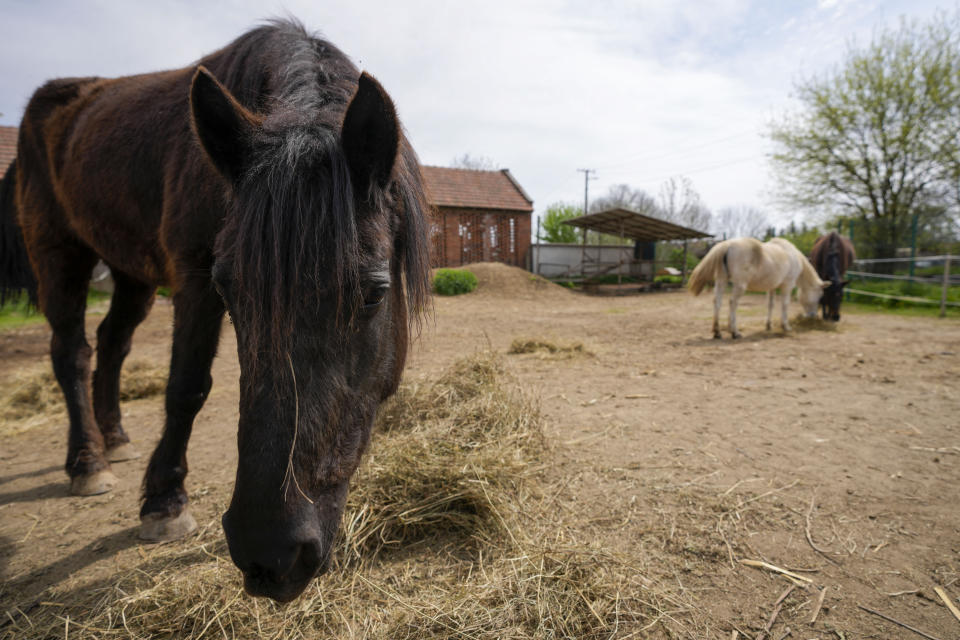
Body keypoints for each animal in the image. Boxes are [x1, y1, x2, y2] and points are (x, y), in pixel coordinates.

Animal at [0, 18, 430, 600]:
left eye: (374, 293)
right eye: (228, 290)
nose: (269, 553)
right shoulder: (194, 278)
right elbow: (186, 388)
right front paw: (163, 502)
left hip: (131, 272)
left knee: (112, 344)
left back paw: (115, 440)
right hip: (58, 252)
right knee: (72, 353)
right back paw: (88, 462)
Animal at [688, 238, 828, 340]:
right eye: (820, 296)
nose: (812, 316)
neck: (792, 255)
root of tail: (728, 244)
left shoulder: (772, 288)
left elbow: (770, 305)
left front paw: (768, 325)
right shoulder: (787, 286)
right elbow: (785, 305)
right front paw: (786, 326)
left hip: (721, 281)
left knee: (717, 302)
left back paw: (717, 332)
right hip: (740, 285)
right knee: (732, 303)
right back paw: (735, 332)